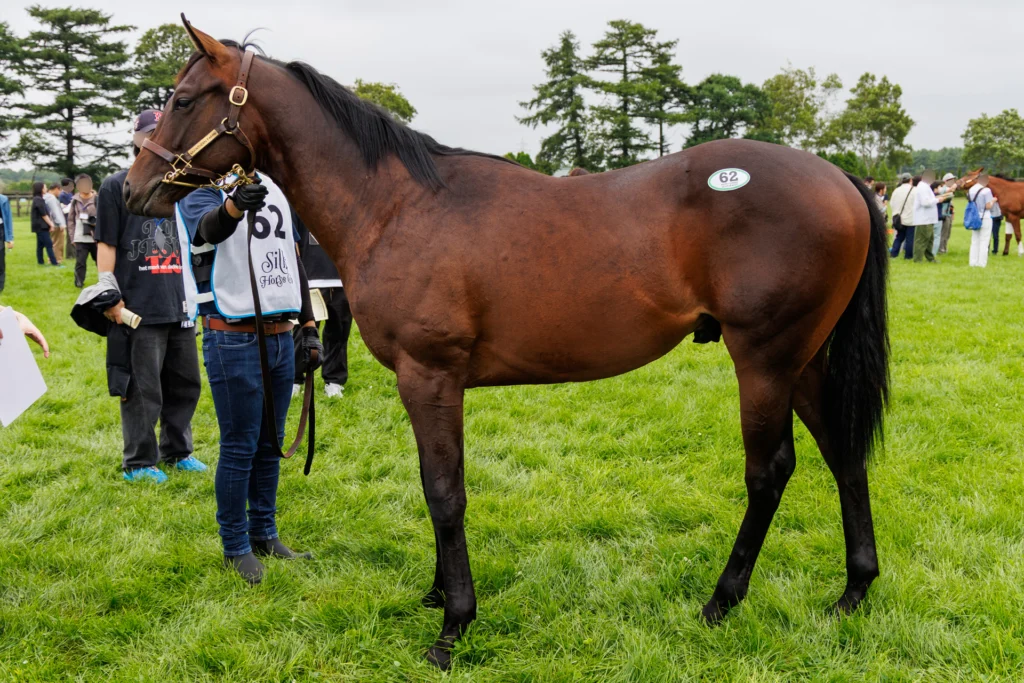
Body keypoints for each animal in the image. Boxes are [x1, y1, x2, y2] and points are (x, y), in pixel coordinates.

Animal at [124, 18, 890, 670]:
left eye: (184, 98)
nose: (134, 191)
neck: (394, 207)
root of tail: (840, 178)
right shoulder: (429, 385)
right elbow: (436, 482)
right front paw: (437, 593)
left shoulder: (429, 375)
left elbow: (445, 492)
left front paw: (452, 626)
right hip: (803, 362)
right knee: (843, 452)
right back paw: (853, 591)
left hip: (763, 359)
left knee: (770, 471)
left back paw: (721, 600)